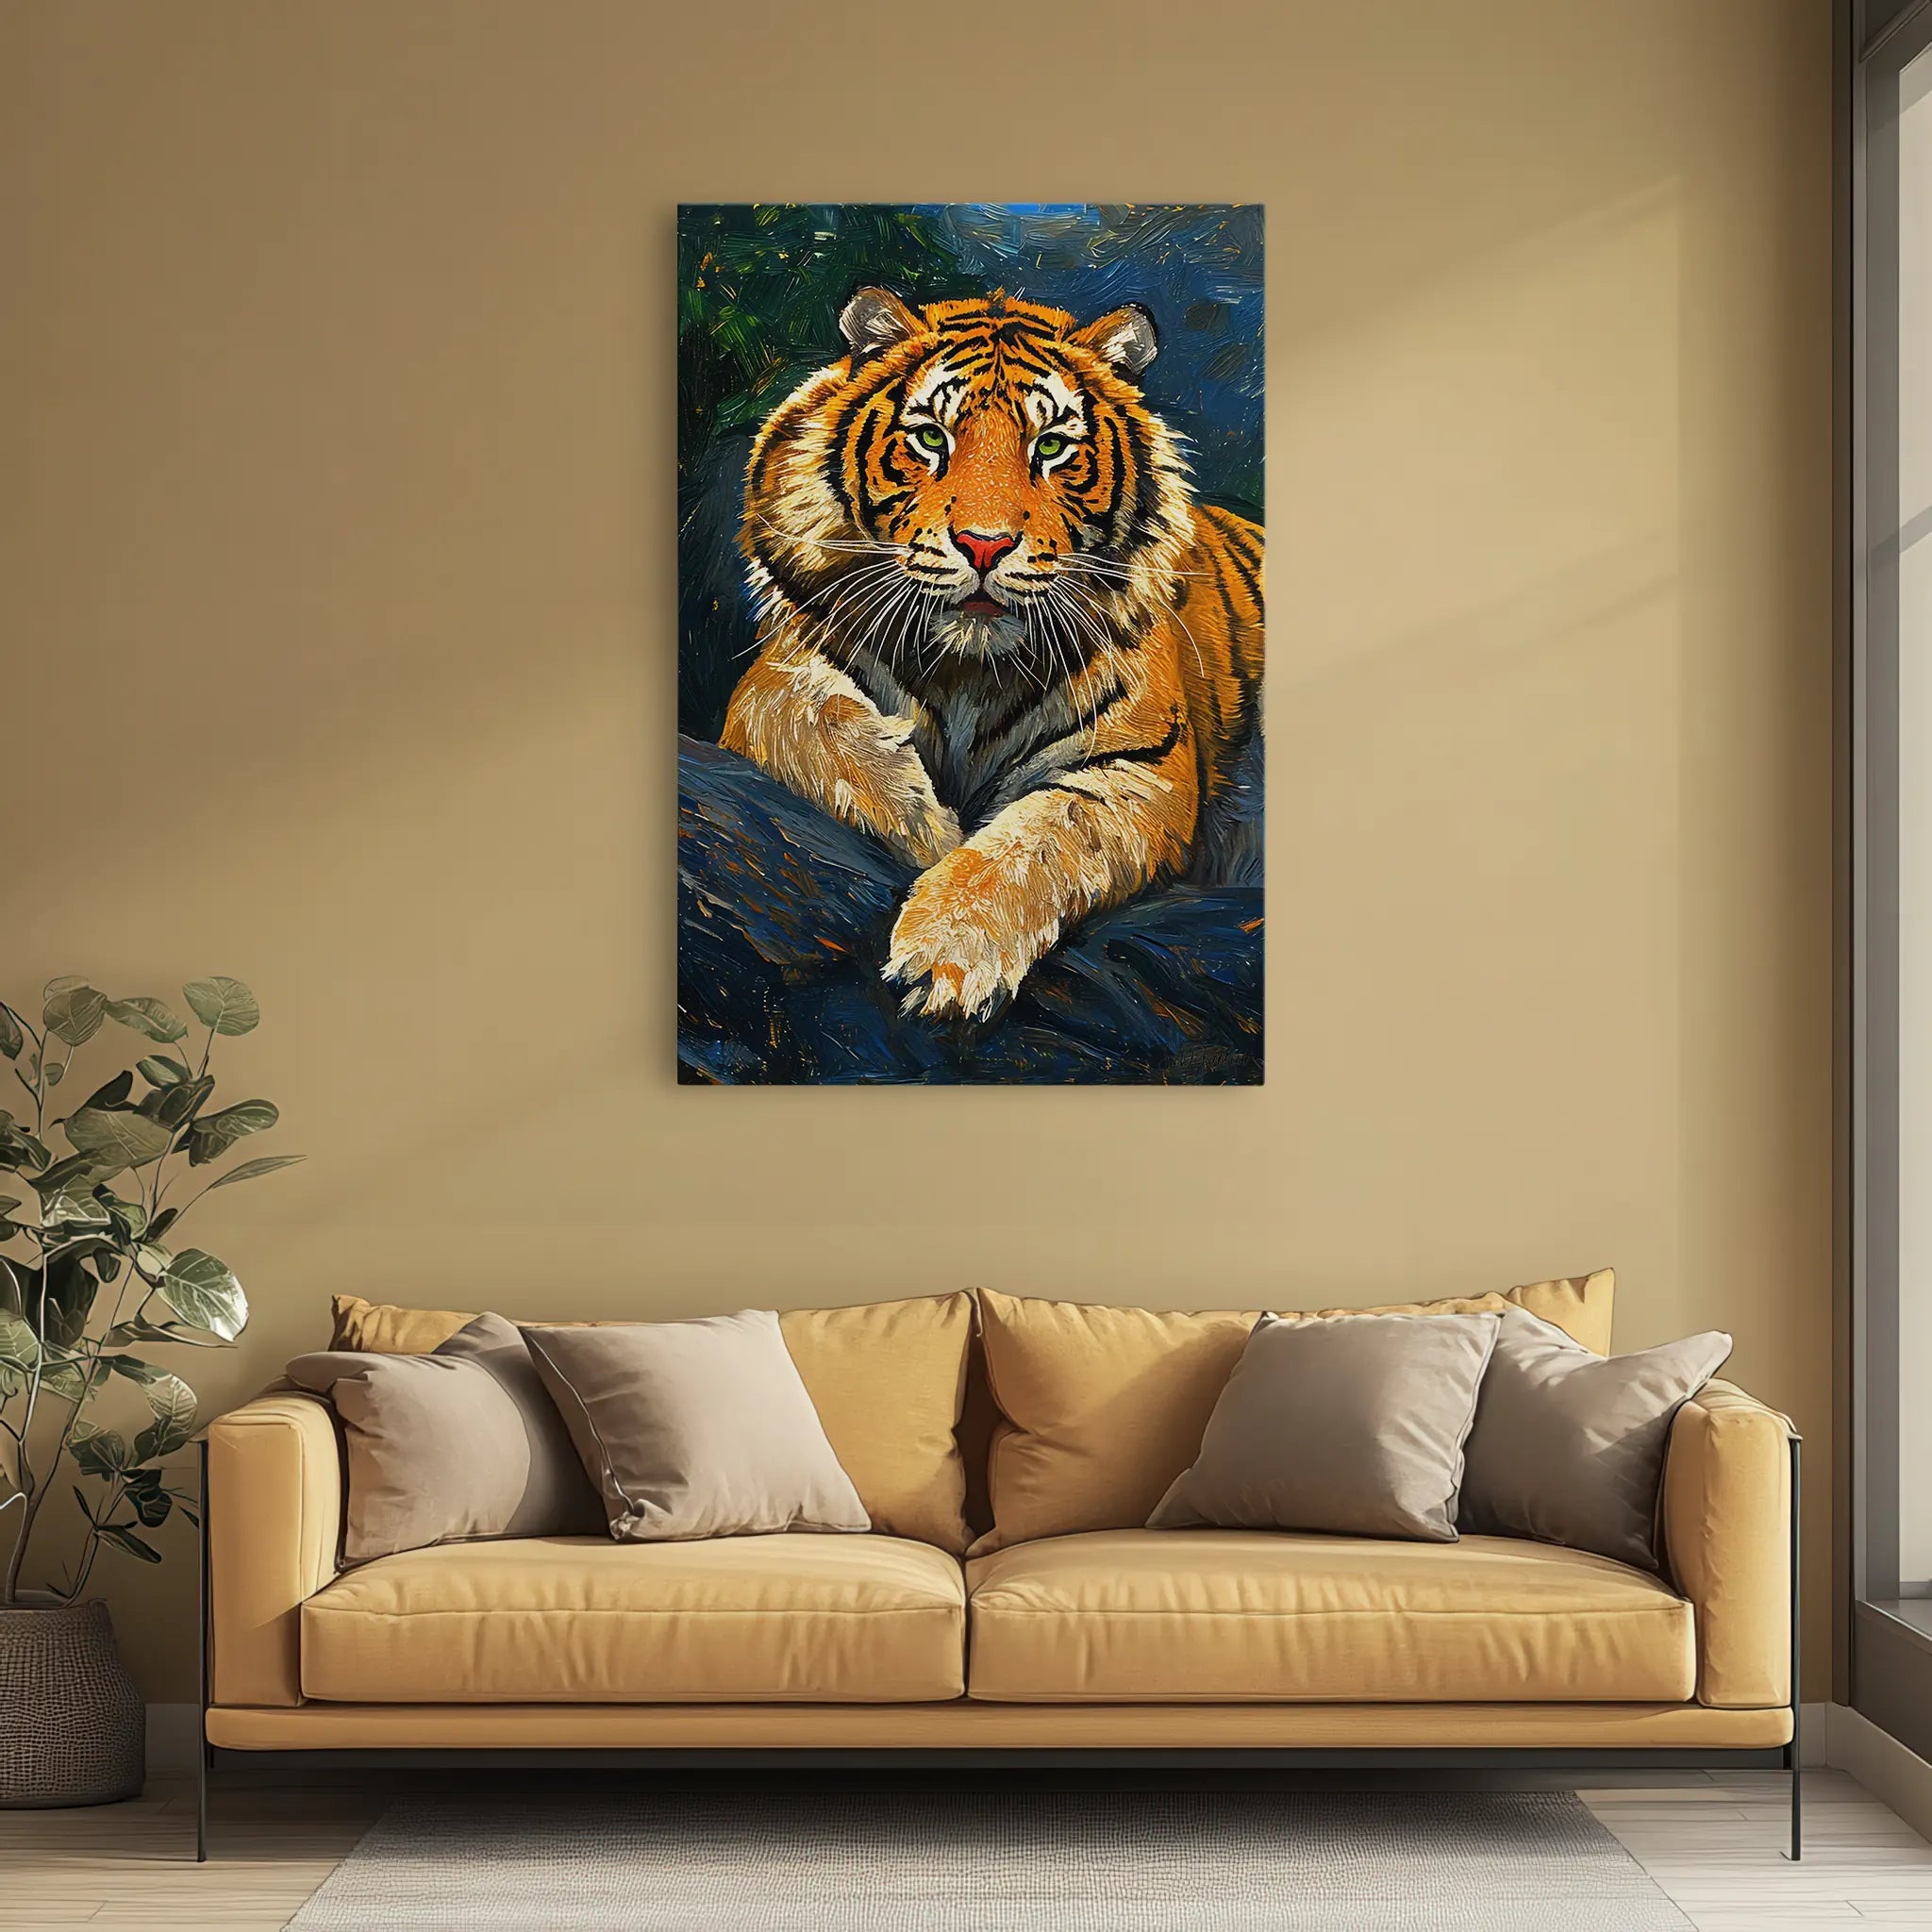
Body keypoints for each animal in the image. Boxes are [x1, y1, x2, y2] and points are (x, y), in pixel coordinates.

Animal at [720, 285, 1263, 1021]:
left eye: (1052, 446)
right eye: (931, 437)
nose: (985, 545)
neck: (966, 673)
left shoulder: (1141, 766)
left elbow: (1040, 837)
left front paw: (947, 949)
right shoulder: (774, 675)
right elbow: (809, 721)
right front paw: (922, 824)